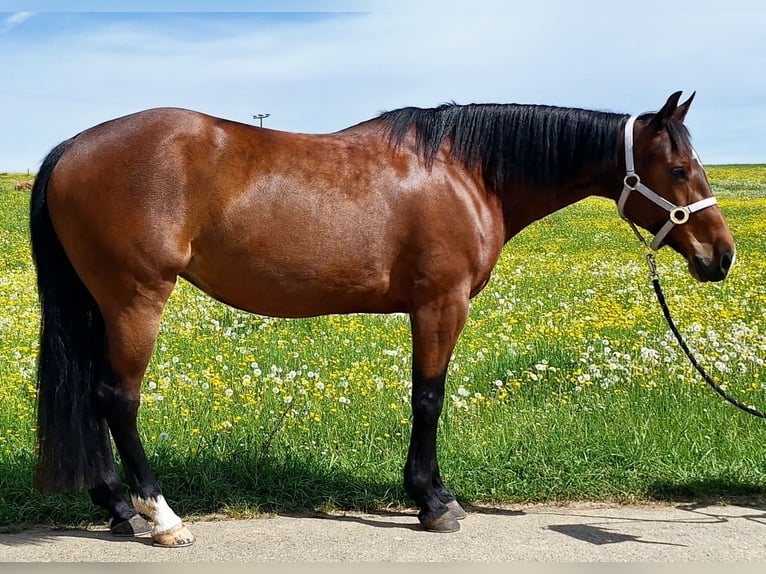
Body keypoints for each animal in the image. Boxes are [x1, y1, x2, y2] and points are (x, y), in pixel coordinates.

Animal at [29, 91, 735, 547]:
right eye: (678, 168)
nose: (720, 256)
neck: (467, 172)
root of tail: (71, 147)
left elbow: (427, 397)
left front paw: (435, 493)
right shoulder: (441, 303)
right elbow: (429, 398)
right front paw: (431, 501)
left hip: (101, 303)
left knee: (93, 399)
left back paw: (118, 508)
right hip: (136, 298)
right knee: (117, 399)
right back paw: (161, 518)